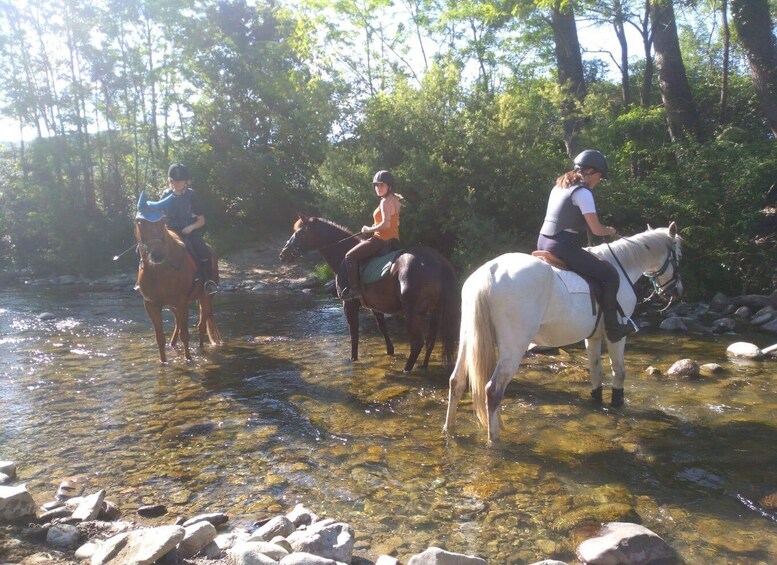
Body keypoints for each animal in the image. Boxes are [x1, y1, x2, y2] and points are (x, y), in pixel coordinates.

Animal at [134, 216, 221, 362]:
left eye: (162, 223)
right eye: (140, 223)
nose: (157, 255)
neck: (159, 271)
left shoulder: (182, 302)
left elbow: (185, 335)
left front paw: (188, 359)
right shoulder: (151, 305)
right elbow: (160, 338)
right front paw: (163, 362)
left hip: (206, 297)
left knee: (201, 326)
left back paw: (201, 349)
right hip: (173, 305)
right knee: (178, 324)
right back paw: (172, 344)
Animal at [278, 215, 458, 370]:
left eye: (299, 233)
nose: (282, 255)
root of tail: (438, 262)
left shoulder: (349, 304)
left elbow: (354, 333)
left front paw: (353, 359)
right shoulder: (375, 306)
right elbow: (382, 327)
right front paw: (390, 352)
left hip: (413, 313)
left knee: (416, 344)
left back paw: (406, 370)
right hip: (435, 311)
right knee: (430, 341)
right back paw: (423, 367)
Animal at [446, 223, 684, 442]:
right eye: (679, 256)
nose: (677, 292)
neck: (623, 265)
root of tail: (490, 272)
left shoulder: (593, 337)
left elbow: (596, 372)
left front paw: (597, 400)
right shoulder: (616, 336)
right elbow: (619, 372)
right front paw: (617, 404)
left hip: (468, 338)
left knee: (456, 381)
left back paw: (449, 429)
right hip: (513, 348)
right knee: (493, 390)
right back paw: (494, 439)